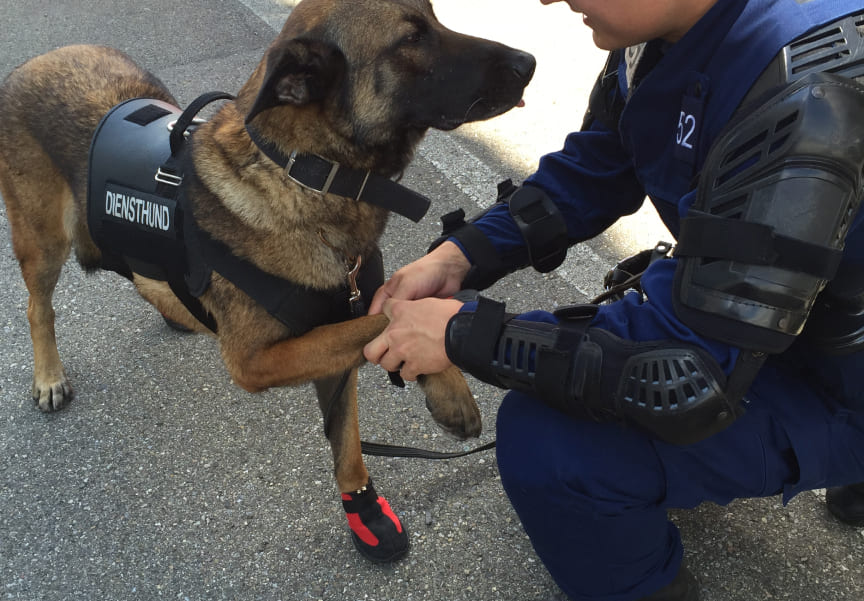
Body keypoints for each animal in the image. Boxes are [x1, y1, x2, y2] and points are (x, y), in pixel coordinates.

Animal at [0, 0, 532, 564]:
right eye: (410, 39)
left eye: (437, 19)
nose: (530, 63)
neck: (305, 175)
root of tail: (36, 61)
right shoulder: (256, 362)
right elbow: (387, 319)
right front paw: (450, 383)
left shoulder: (331, 343)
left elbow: (348, 440)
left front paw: (365, 507)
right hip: (42, 241)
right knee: (38, 306)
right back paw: (48, 377)